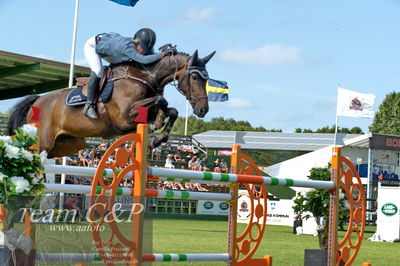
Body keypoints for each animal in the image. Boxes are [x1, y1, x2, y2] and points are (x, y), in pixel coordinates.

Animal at [7, 49, 216, 158]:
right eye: (195, 77)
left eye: (206, 78)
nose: (203, 109)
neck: (145, 77)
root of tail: (37, 99)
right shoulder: (124, 117)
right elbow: (161, 100)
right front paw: (156, 128)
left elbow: (171, 110)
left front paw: (158, 134)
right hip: (42, 142)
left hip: (69, 144)